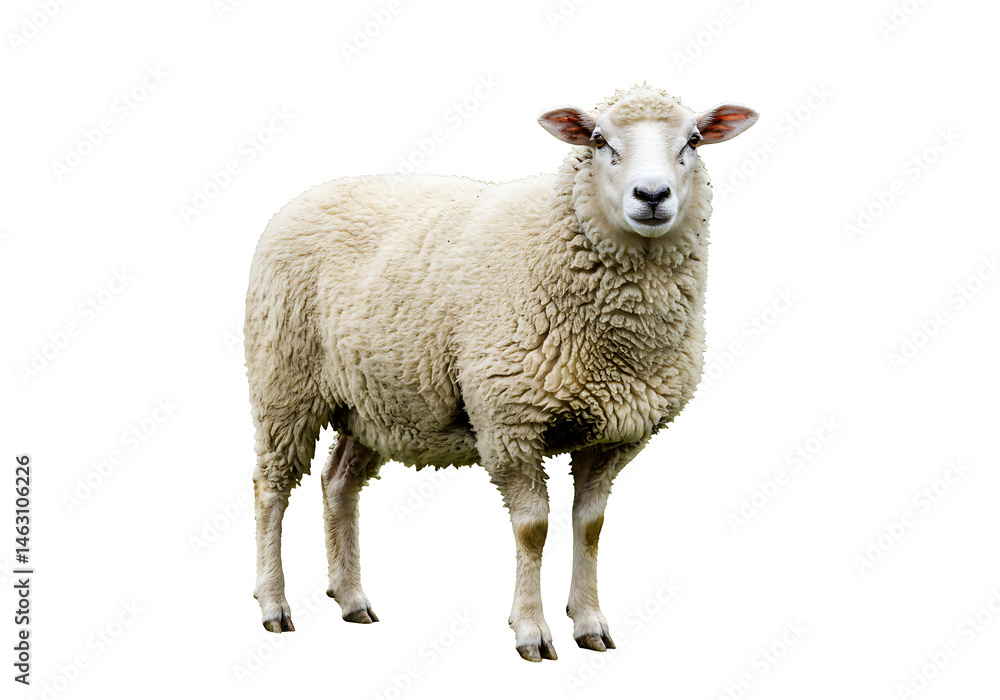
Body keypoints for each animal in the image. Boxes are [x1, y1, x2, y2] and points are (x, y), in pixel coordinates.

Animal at [245, 84, 758, 662]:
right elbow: (533, 528)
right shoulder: (509, 420)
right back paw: (274, 605)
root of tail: (307, 195)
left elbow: (590, 527)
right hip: (284, 383)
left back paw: (352, 599)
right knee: (271, 487)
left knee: (338, 483)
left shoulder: (613, 432)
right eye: (599, 140)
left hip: (373, 399)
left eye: (693, 140)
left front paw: (590, 623)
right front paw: (531, 630)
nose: (652, 194)